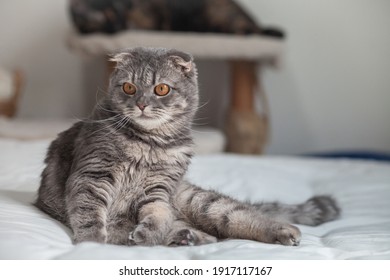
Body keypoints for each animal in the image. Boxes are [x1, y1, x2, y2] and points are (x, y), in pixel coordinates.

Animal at [35, 48, 340, 247]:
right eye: (129, 87)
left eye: (161, 89)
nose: (141, 104)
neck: (151, 143)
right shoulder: (93, 175)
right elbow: (89, 215)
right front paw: (93, 246)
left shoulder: (159, 188)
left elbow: (158, 214)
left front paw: (146, 234)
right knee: (212, 233)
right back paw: (187, 237)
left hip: (204, 203)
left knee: (243, 219)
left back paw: (283, 231)